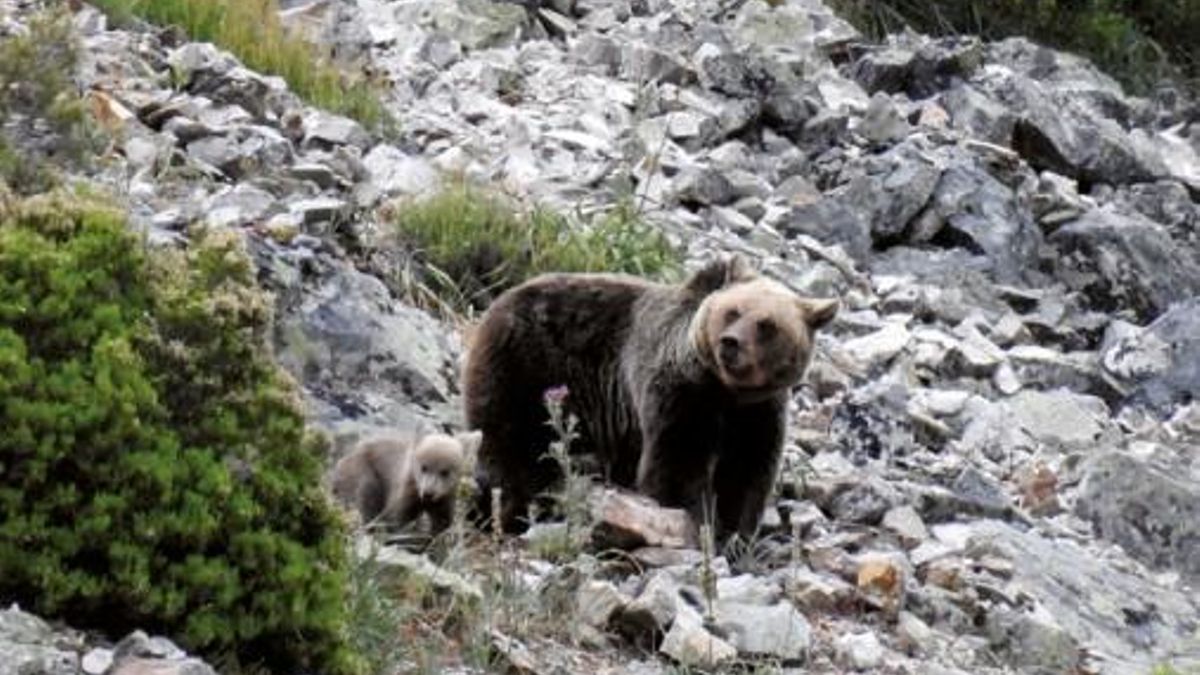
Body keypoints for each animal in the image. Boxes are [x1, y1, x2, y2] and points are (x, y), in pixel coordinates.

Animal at [329, 430, 482, 535]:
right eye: (424, 467)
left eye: (445, 472)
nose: (428, 492)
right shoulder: (405, 489)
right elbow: (398, 517)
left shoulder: (444, 499)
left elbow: (441, 524)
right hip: (361, 472)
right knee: (365, 495)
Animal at [461, 254, 838, 542]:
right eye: (733, 311)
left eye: (766, 325)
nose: (730, 343)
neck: (727, 392)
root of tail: (497, 301)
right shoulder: (681, 392)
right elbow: (677, 462)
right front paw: (695, 520)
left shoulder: (758, 414)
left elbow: (745, 473)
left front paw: (735, 536)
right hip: (526, 367)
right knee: (512, 445)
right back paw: (510, 508)